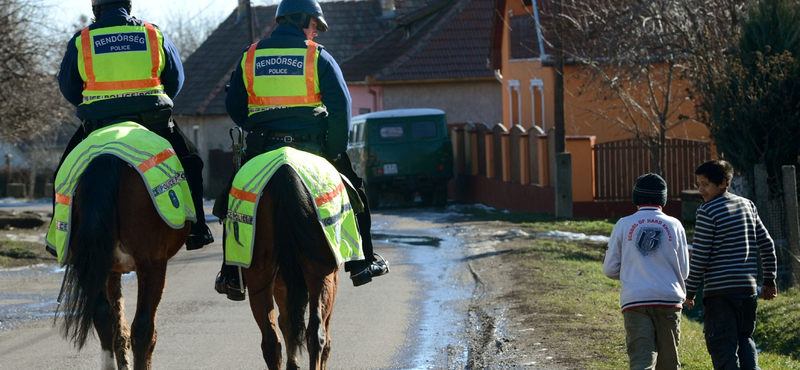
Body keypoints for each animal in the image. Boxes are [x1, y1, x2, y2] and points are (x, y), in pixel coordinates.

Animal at [56, 154, 191, 370]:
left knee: (103, 317)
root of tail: (108, 157)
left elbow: (116, 323)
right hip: (152, 266)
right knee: (143, 328)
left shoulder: (110, 269)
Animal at [244, 165, 344, 370]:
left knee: (272, 339)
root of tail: (285, 170)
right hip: (323, 274)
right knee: (317, 332)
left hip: (259, 274)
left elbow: (287, 321)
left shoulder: (282, 282)